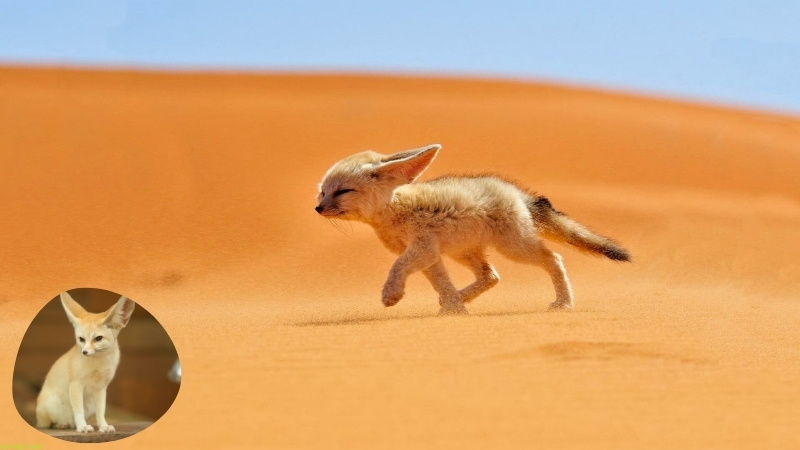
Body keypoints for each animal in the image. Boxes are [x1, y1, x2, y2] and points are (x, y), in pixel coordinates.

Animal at [35, 292, 135, 433]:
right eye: (81, 339)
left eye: (98, 338)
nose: (84, 352)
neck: (98, 363)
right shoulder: (76, 384)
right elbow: (78, 410)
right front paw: (82, 426)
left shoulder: (100, 388)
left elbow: (101, 411)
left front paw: (103, 426)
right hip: (52, 405)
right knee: (46, 424)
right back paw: (61, 424)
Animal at [315, 144, 630, 314]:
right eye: (323, 192)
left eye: (343, 191)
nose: (318, 208)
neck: (395, 209)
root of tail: (517, 193)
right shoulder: (430, 254)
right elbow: (441, 282)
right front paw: (454, 308)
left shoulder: (422, 248)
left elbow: (397, 267)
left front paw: (391, 294)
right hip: (464, 252)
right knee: (491, 276)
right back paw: (459, 298)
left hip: (514, 248)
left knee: (554, 258)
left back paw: (564, 303)